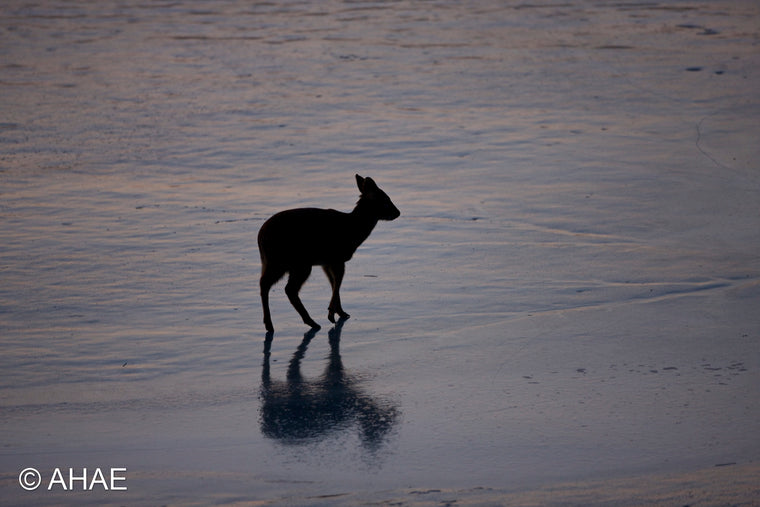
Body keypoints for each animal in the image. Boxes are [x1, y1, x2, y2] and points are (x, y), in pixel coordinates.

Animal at [258, 174, 400, 333]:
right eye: (385, 200)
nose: (398, 212)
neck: (353, 229)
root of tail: (260, 239)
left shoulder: (326, 262)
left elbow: (333, 283)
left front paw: (340, 312)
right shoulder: (337, 257)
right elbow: (337, 283)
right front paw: (331, 314)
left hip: (275, 262)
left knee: (266, 284)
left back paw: (272, 324)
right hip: (295, 263)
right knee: (287, 289)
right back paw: (309, 322)